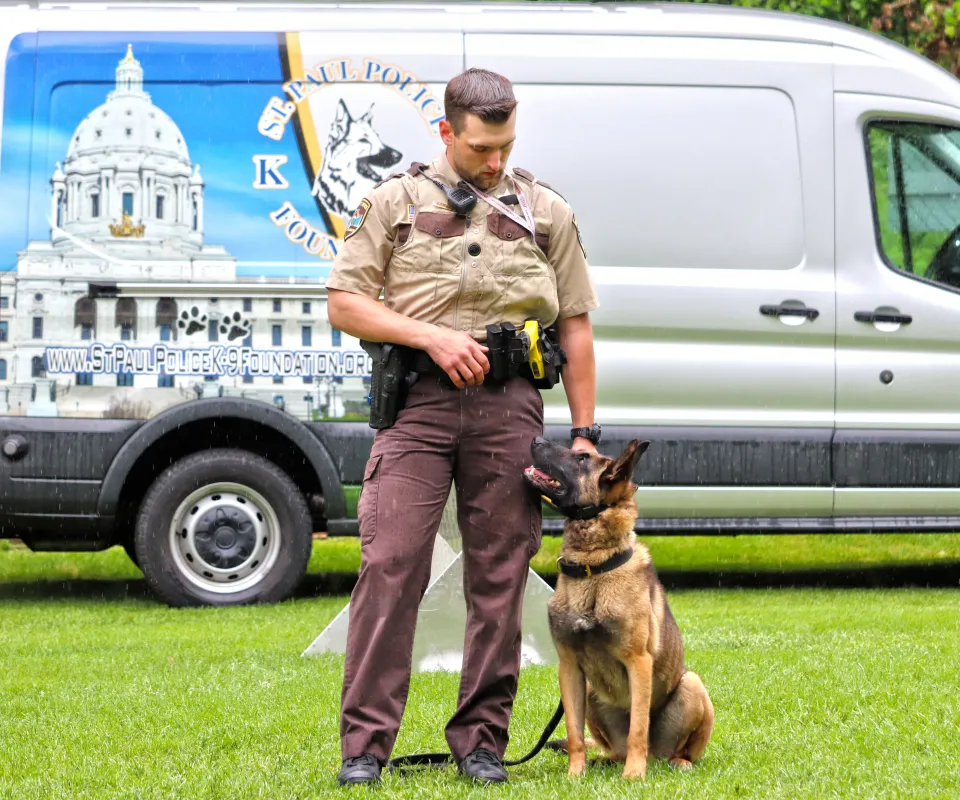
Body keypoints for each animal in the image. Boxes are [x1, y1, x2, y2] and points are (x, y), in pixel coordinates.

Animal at [524, 438, 712, 780]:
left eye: (582, 458)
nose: (537, 439)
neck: (592, 569)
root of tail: (657, 756)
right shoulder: (569, 667)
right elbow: (574, 733)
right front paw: (575, 775)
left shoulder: (638, 662)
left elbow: (638, 725)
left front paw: (633, 776)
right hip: (590, 692)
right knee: (613, 747)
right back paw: (606, 761)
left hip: (692, 684)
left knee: (673, 748)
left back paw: (672, 762)